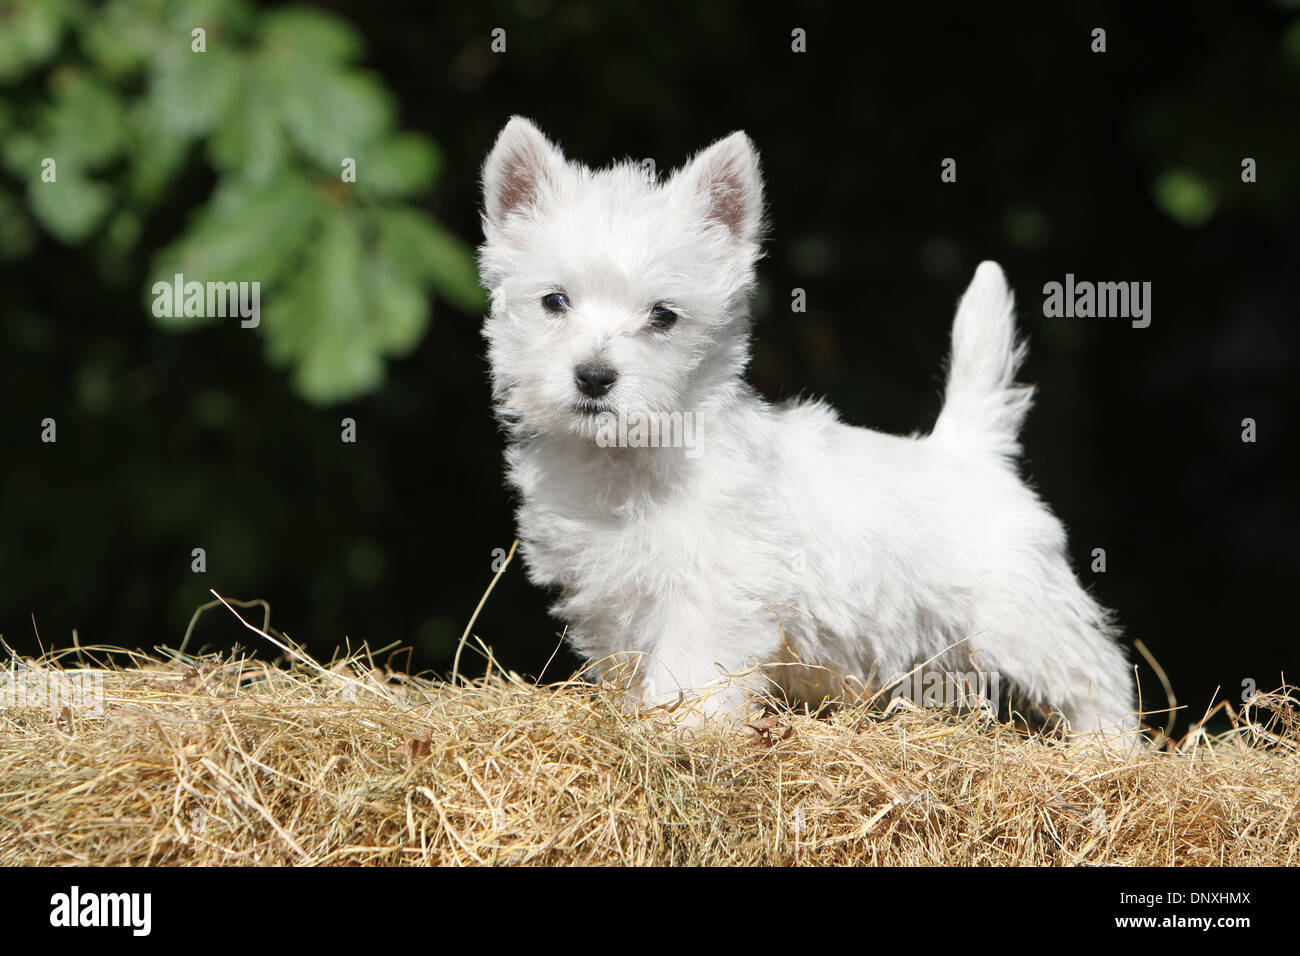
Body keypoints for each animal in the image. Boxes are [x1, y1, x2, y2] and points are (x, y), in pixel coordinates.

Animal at [475, 115, 1138, 738]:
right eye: (554, 301)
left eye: (663, 315)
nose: (593, 377)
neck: (628, 458)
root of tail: (970, 451)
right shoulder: (611, 600)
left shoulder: (714, 592)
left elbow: (689, 670)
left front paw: (680, 734)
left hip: (1025, 617)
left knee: (1098, 677)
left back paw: (1110, 751)